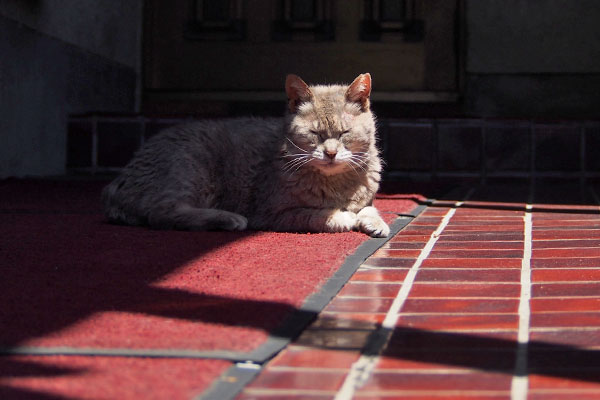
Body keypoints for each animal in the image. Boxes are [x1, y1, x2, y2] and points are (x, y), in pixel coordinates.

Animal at [103, 74, 392, 238]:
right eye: (314, 133)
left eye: (344, 133)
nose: (330, 153)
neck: (339, 187)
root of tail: (117, 184)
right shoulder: (273, 213)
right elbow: (318, 215)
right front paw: (343, 217)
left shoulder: (365, 198)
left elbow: (369, 207)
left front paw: (374, 221)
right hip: (191, 167)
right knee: (163, 213)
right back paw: (227, 218)